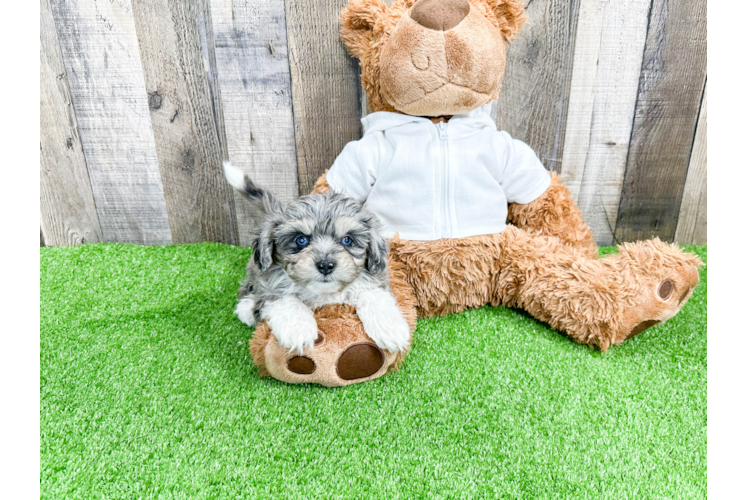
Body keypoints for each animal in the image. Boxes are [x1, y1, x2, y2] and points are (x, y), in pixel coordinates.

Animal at [224, 161, 410, 356]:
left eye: (347, 240)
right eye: (301, 240)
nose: (325, 265)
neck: (324, 293)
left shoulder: (374, 280)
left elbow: (375, 296)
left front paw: (390, 328)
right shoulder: (270, 284)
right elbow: (283, 298)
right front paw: (298, 329)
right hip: (255, 270)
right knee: (249, 287)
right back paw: (246, 308)